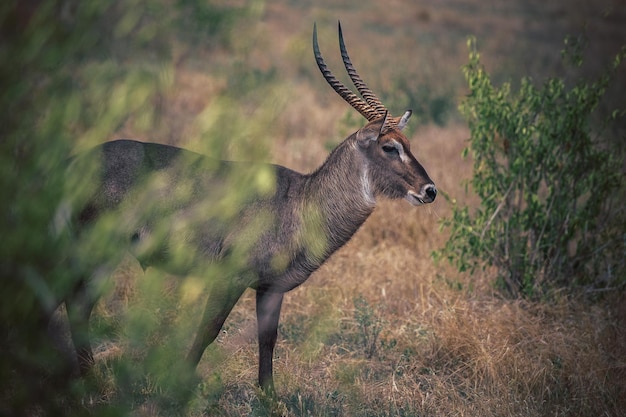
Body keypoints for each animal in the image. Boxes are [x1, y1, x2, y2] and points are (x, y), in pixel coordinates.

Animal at [62, 22, 434, 394]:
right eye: (389, 147)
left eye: (409, 144)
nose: (430, 190)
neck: (301, 200)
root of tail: (77, 162)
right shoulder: (230, 277)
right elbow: (208, 330)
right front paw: (178, 386)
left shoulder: (271, 289)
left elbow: (268, 338)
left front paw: (270, 395)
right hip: (97, 249)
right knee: (77, 302)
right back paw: (91, 380)